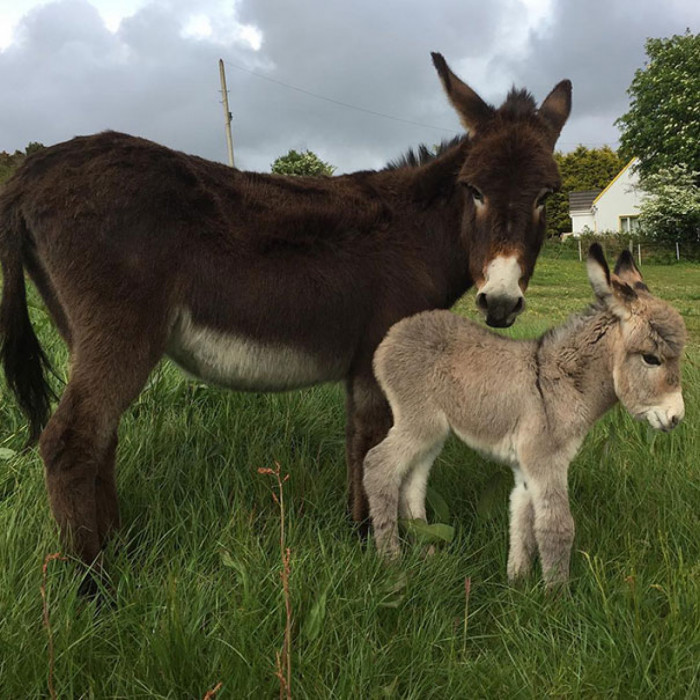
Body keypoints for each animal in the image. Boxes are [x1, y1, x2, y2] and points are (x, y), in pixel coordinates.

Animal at [364, 246, 688, 584]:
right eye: (651, 358)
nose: (676, 417)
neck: (561, 382)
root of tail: (395, 333)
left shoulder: (526, 467)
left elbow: (522, 523)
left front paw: (517, 582)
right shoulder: (546, 461)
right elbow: (557, 528)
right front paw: (556, 593)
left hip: (433, 432)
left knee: (412, 483)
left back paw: (426, 553)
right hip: (418, 421)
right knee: (378, 466)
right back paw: (391, 559)